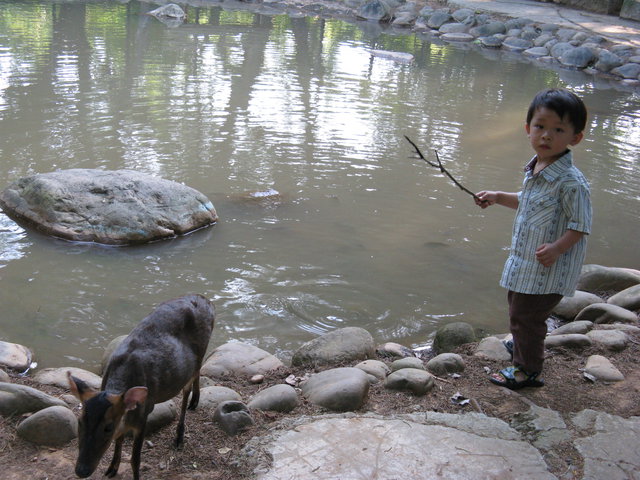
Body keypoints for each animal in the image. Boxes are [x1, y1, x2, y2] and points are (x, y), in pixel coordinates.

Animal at [68, 294, 215, 478]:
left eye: (108, 427)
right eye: (80, 421)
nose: (82, 470)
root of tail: (207, 301)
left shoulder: (143, 416)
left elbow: (135, 460)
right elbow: (119, 440)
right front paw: (111, 469)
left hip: (197, 357)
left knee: (186, 390)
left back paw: (180, 435)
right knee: (197, 374)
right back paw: (195, 402)